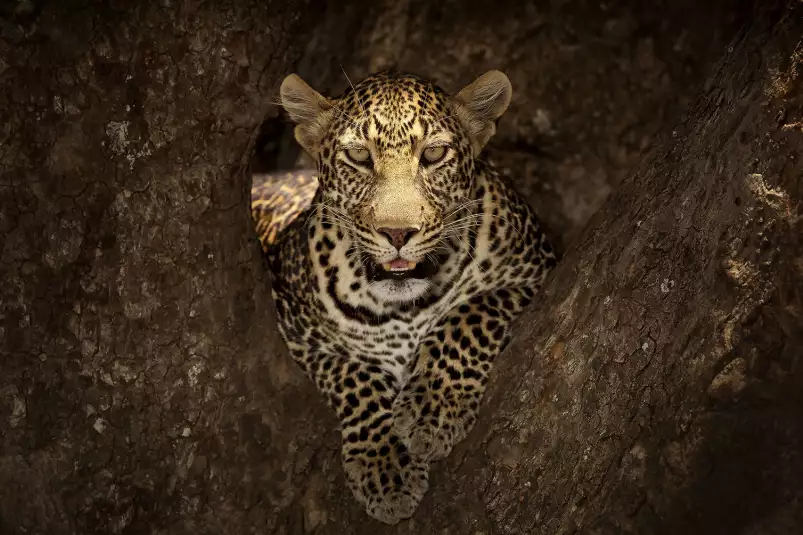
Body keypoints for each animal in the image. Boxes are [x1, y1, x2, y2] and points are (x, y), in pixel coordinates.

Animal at [251, 69, 560, 524]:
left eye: (433, 154)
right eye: (359, 156)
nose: (397, 234)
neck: (403, 307)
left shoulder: (536, 270)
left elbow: (468, 315)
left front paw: (433, 408)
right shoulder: (296, 330)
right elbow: (354, 375)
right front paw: (386, 466)